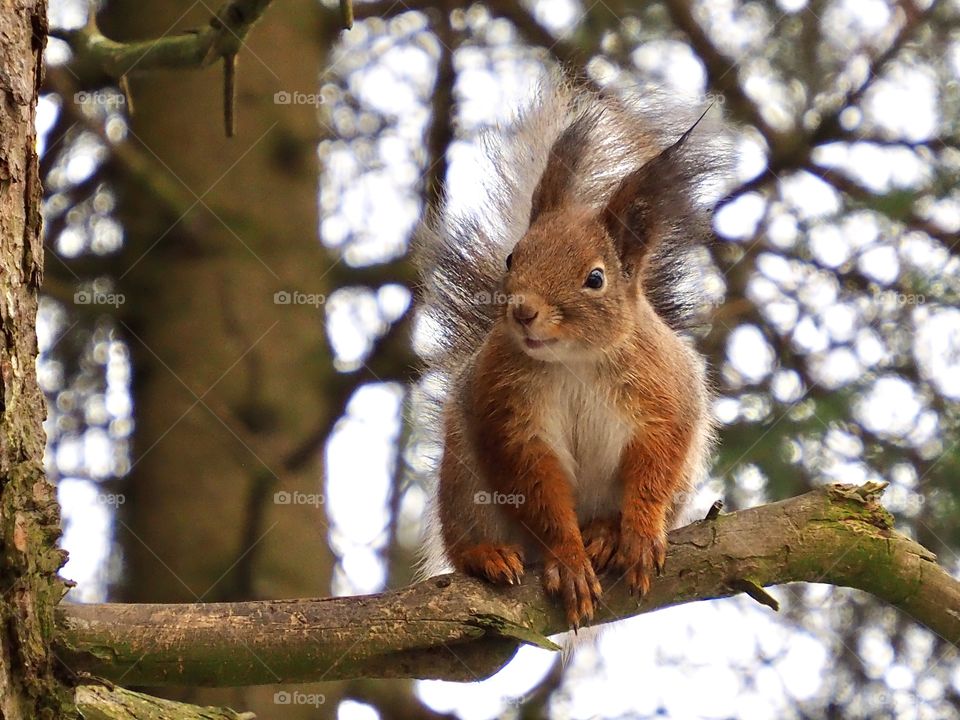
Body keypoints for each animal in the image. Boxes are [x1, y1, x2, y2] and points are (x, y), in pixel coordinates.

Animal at [415, 75, 727, 629]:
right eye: (513, 257)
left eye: (595, 278)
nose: (522, 310)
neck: (575, 359)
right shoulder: (512, 416)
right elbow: (539, 490)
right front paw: (569, 560)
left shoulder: (663, 395)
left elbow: (656, 462)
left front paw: (639, 533)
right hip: (466, 483)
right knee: (469, 536)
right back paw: (489, 555)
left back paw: (604, 533)